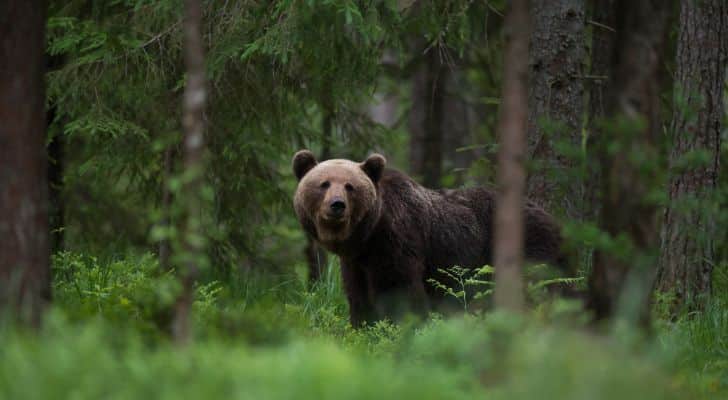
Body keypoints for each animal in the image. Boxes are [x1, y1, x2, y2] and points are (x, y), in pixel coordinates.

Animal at [292, 148, 564, 326]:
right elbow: (358, 295)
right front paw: (363, 327)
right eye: (324, 184)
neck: (367, 236)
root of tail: (553, 218)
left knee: (539, 287)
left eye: (350, 186)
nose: (337, 205)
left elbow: (398, 289)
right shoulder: (356, 262)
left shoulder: (396, 241)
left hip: (529, 244)